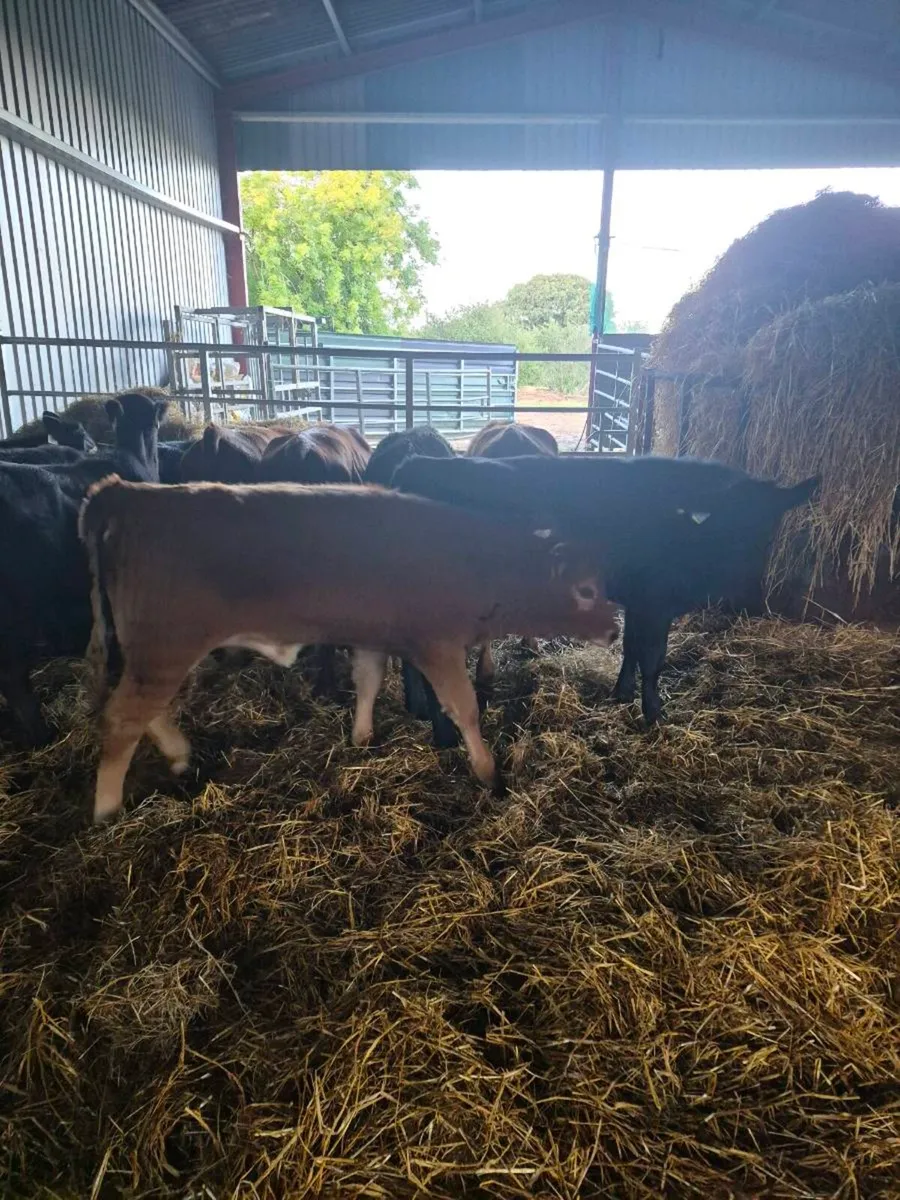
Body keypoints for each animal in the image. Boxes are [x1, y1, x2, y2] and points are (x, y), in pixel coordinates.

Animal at [79, 478, 618, 822]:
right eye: (586, 590)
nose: (614, 632)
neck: (474, 560)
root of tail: (124, 494)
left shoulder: (373, 636)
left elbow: (369, 682)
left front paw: (362, 737)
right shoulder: (438, 644)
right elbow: (464, 709)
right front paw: (487, 771)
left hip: (151, 656)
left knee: (143, 713)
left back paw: (180, 755)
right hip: (165, 649)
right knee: (123, 719)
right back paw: (107, 810)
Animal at [391, 452, 818, 725]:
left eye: (769, 522)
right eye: (728, 518)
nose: (743, 567)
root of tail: (414, 465)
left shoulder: (639, 600)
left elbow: (631, 648)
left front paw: (623, 694)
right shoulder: (656, 601)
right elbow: (653, 657)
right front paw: (654, 712)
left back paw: (417, 708)